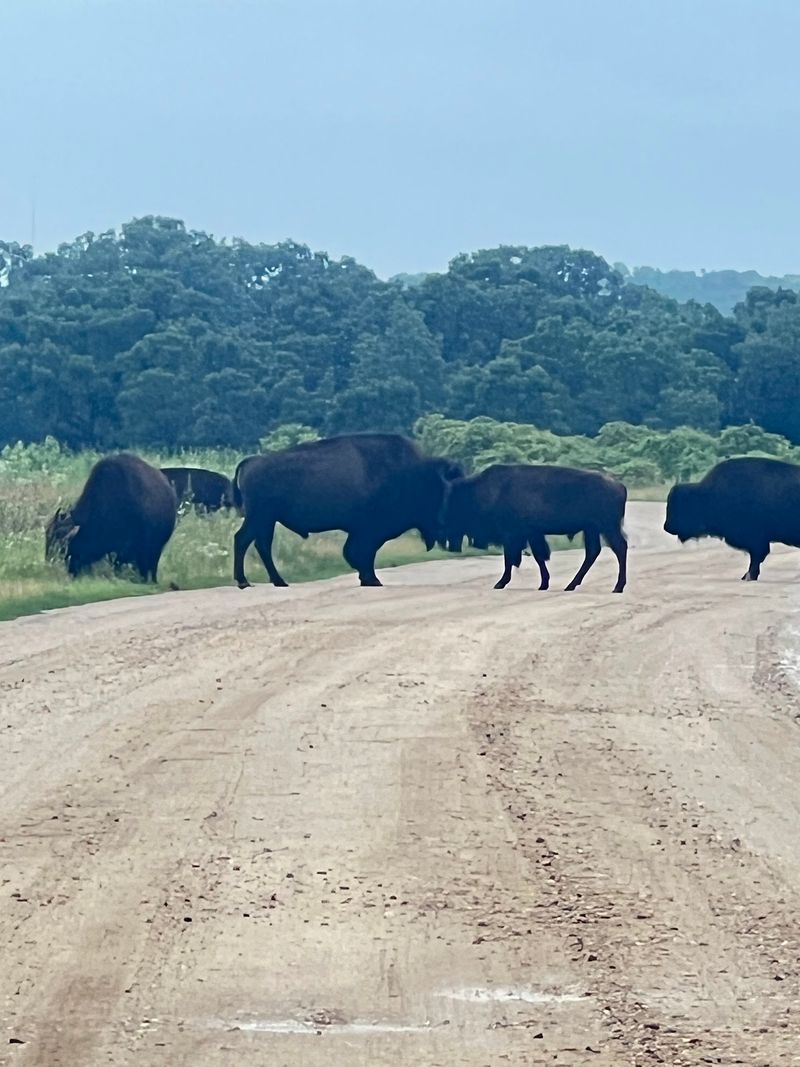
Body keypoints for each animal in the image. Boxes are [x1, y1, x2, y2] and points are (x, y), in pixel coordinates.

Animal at [46, 453, 177, 582]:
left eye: (64, 544)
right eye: (48, 538)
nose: (49, 560)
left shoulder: (130, 546)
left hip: (157, 547)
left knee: (151, 565)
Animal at [232, 433, 463, 588]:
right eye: (442, 493)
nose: (447, 527)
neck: (412, 475)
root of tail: (252, 461)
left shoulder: (363, 530)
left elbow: (357, 552)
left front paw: (367, 578)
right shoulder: (370, 530)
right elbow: (362, 552)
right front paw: (372, 580)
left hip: (265, 520)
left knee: (257, 543)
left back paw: (273, 581)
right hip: (261, 517)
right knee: (246, 540)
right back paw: (249, 582)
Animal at [442, 464, 628, 593]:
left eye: (456, 501)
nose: (444, 524)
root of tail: (620, 486)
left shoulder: (512, 534)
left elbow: (510, 558)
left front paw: (500, 583)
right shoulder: (531, 534)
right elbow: (538, 557)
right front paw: (544, 584)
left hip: (607, 527)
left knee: (619, 548)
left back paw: (617, 587)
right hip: (592, 529)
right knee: (593, 552)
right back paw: (571, 585)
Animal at [664, 456, 800, 580]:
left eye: (682, 506)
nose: (667, 527)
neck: (707, 495)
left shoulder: (756, 539)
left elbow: (756, 558)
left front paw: (749, 576)